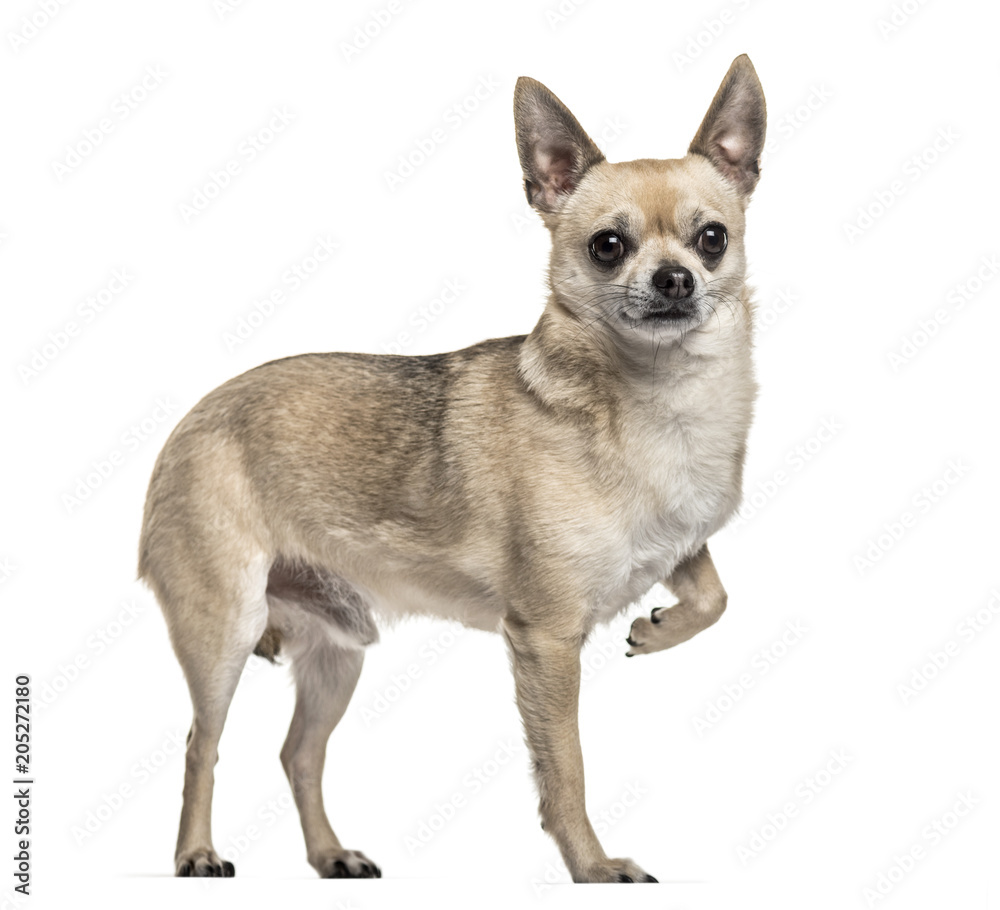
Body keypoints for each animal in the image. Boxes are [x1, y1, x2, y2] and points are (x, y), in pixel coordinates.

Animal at [139, 55, 764, 884]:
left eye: (713, 238)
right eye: (608, 246)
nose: (674, 279)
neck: (655, 399)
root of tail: (187, 422)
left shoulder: (679, 544)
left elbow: (715, 596)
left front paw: (656, 628)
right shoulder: (544, 640)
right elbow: (566, 768)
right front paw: (592, 867)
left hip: (336, 655)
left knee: (298, 754)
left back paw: (329, 854)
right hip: (226, 631)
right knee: (199, 746)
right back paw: (198, 853)